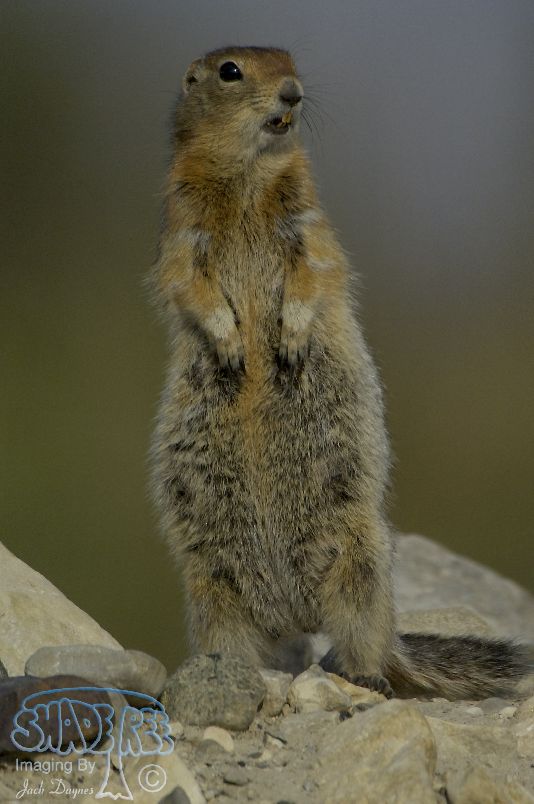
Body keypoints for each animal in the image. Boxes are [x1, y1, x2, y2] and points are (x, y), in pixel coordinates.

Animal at [150, 45, 530, 698]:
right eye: (231, 71)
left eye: (290, 60)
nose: (293, 92)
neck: (247, 176)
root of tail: (291, 614)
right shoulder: (183, 224)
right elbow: (188, 281)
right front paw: (230, 344)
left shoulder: (307, 220)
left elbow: (313, 269)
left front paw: (291, 338)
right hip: (210, 582)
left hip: (360, 557)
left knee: (363, 631)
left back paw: (368, 674)